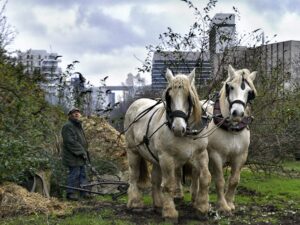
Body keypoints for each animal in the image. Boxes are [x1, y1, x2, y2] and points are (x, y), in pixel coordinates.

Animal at [124, 68, 211, 221]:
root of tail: (136, 102)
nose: (178, 128)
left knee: (155, 180)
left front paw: (202, 208)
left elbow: (205, 178)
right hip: (133, 151)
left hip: (156, 158)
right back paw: (135, 203)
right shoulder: (167, 158)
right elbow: (169, 185)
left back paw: (158, 204)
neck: (187, 134)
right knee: (134, 176)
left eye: (189, 97)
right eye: (169, 97)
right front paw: (170, 213)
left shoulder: (201, 154)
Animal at [198, 65, 256, 213]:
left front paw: (230, 203)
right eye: (231, 87)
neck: (232, 129)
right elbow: (219, 180)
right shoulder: (215, 155)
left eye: (249, 92)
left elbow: (234, 180)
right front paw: (223, 205)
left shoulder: (241, 156)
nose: (238, 113)